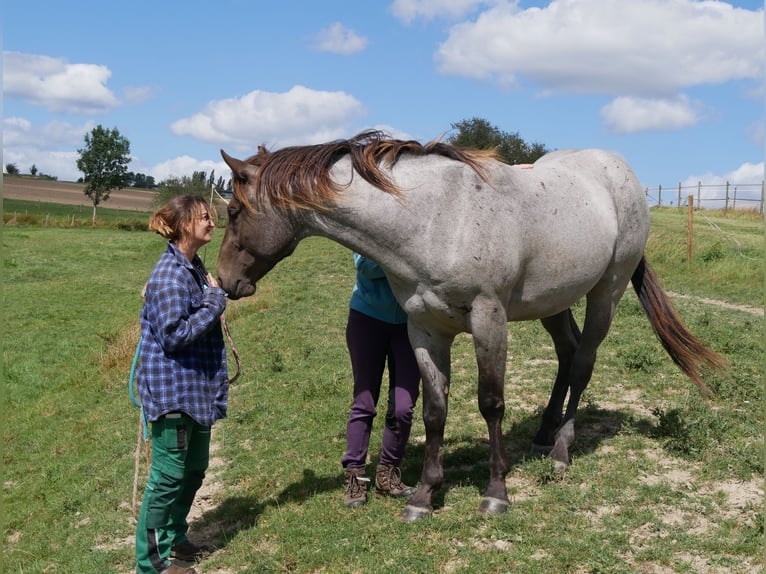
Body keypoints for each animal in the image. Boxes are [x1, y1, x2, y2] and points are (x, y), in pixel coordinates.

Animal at [216, 132, 728, 528]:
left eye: (235, 213)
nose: (224, 281)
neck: (434, 219)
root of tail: (618, 171)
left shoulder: (488, 319)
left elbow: (491, 403)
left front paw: (496, 493)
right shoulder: (423, 330)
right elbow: (434, 411)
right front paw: (423, 497)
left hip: (608, 290)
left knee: (583, 362)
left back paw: (561, 451)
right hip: (554, 301)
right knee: (567, 354)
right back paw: (543, 434)